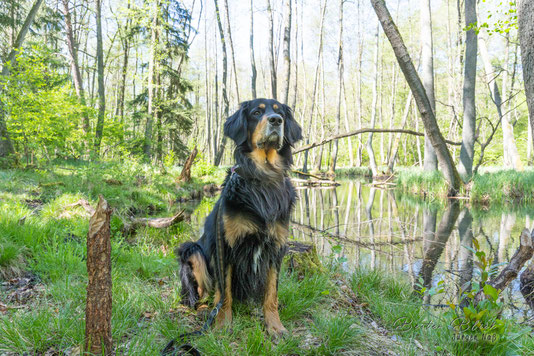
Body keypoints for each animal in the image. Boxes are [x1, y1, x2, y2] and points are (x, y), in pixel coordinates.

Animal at [180, 97, 304, 334]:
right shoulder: (226, 247)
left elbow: (271, 294)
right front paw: (222, 325)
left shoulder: (276, 248)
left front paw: (275, 327)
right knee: (198, 294)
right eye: (256, 112)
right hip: (191, 250)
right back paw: (203, 310)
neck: (263, 179)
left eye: (281, 113)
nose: (276, 120)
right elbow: (224, 292)